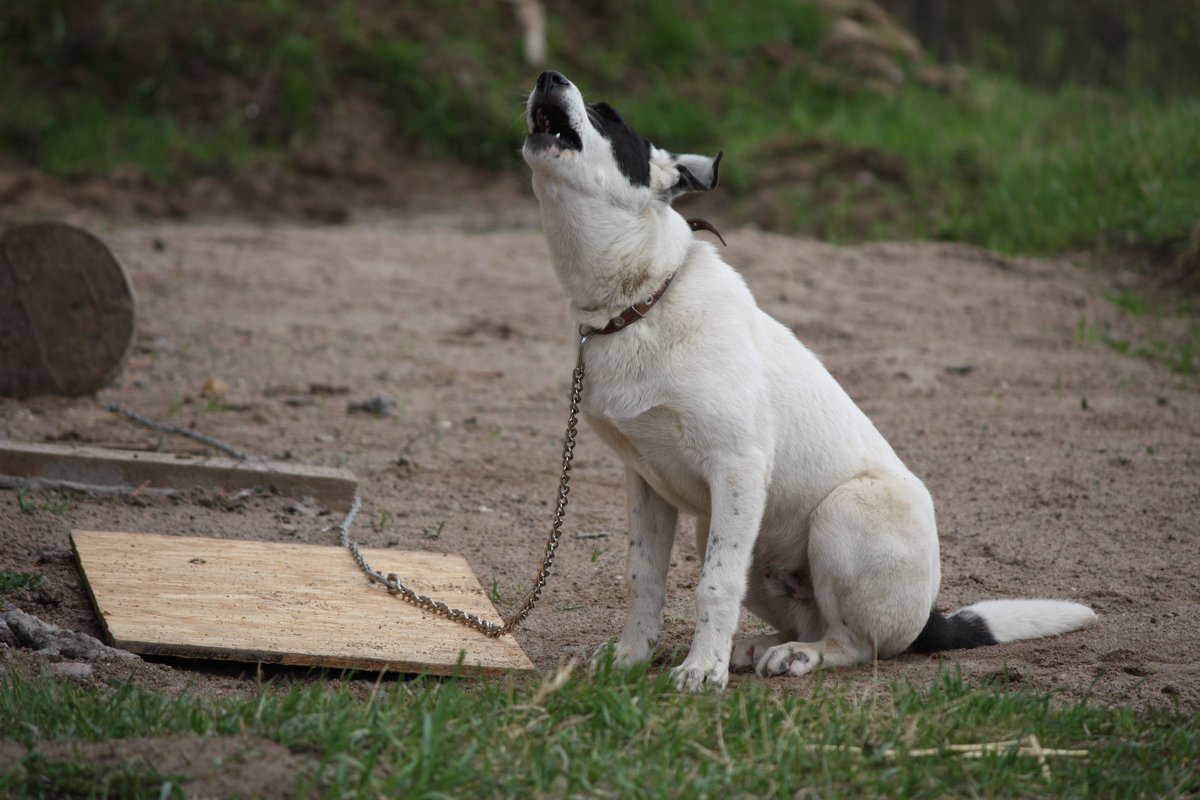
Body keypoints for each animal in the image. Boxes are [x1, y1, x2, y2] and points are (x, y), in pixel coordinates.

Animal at [520, 71, 1094, 690]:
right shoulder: (645, 483)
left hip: (841, 515)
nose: (548, 77)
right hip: (731, 535)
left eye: (610, 118)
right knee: (806, 616)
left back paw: (799, 656)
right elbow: (642, 578)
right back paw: (760, 645)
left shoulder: (738, 468)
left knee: (858, 643)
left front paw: (701, 671)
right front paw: (631, 657)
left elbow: (715, 585)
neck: (641, 299)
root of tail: (929, 621)